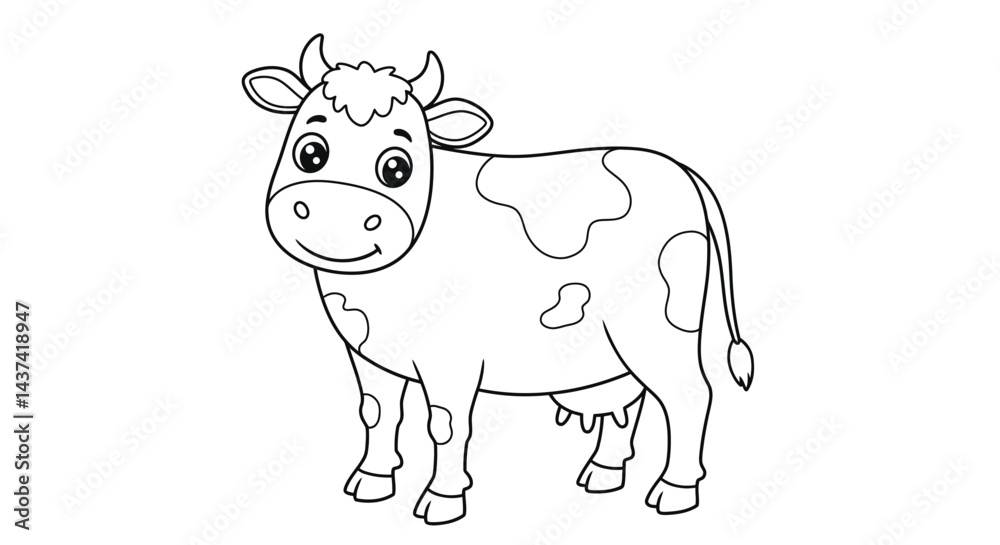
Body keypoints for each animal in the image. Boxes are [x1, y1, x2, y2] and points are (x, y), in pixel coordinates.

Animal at [242, 34, 755, 525]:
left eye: (396, 168)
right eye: (310, 153)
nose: (335, 219)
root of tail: (679, 170)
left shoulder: (452, 357)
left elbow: (445, 424)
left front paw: (442, 499)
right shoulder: (368, 353)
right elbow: (378, 413)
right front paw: (371, 480)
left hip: (660, 327)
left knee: (688, 393)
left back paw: (674, 491)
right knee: (630, 398)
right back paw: (603, 473)